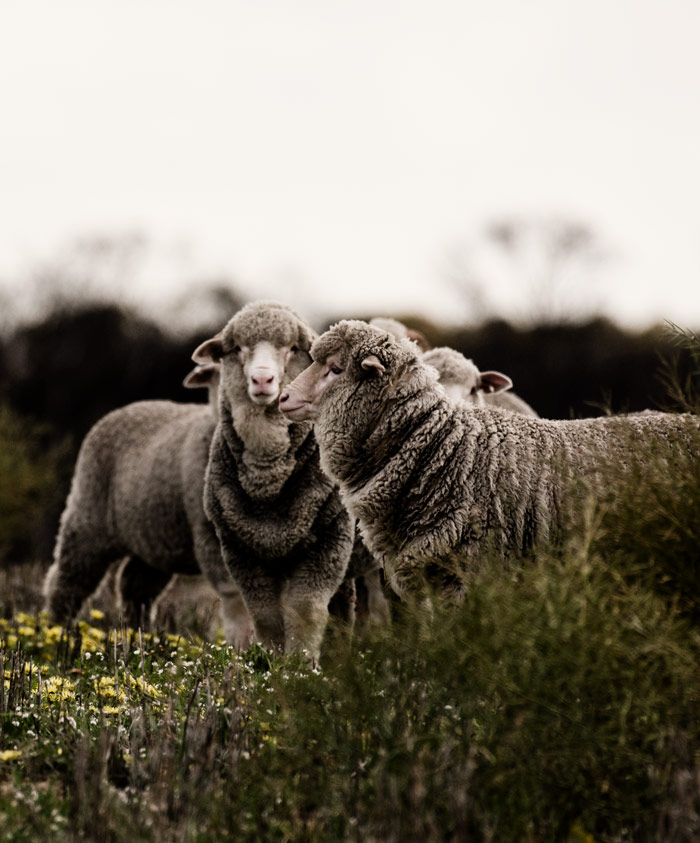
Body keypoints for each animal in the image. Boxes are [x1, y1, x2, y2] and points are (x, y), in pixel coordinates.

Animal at [193, 300, 352, 664]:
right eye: (237, 348)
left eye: (293, 348)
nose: (262, 379)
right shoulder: (240, 549)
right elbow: (263, 614)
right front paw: (271, 663)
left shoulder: (330, 542)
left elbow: (305, 610)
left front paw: (302, 664)